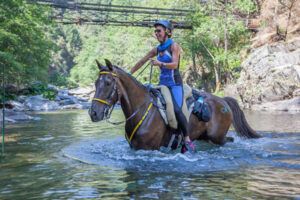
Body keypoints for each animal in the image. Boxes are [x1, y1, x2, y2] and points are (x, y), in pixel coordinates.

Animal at [89, 59, 260, 150]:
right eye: (96, 83)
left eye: (108, 83)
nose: (94, 113)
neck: (141, 110)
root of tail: (224, 101)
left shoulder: (149, 149)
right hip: (205, 137)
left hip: (217, 137)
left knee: (229, 140)